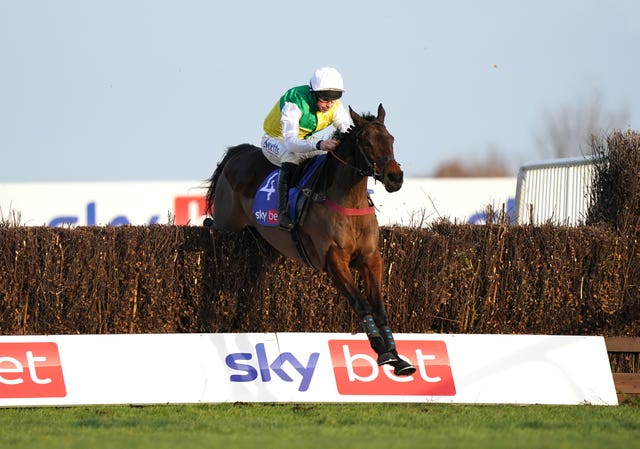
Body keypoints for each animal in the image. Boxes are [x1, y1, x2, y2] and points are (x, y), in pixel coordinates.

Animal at [205, 104, 416, 374]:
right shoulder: (333, 259)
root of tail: (237, 153)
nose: (394, 177)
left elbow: (379, 307)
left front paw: (397, 358)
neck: (348, 201)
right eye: (367, 142)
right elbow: (361, 303)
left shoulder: (371, 258)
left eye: (391, 139)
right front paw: (382, 350)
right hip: (226, 224)